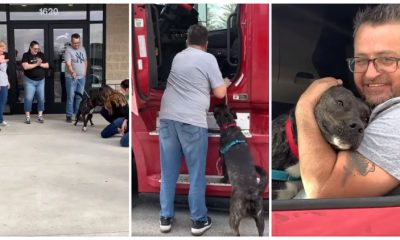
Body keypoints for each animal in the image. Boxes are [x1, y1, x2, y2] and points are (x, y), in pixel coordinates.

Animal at [214, 103, 268, 236]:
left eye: (218, 108)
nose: (215, 104)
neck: (229, 125)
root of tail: (252, 194)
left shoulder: (223, 160)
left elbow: (225, 173)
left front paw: (224, 180)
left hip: (234, 217)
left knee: (236, 231)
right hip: (260, 219)